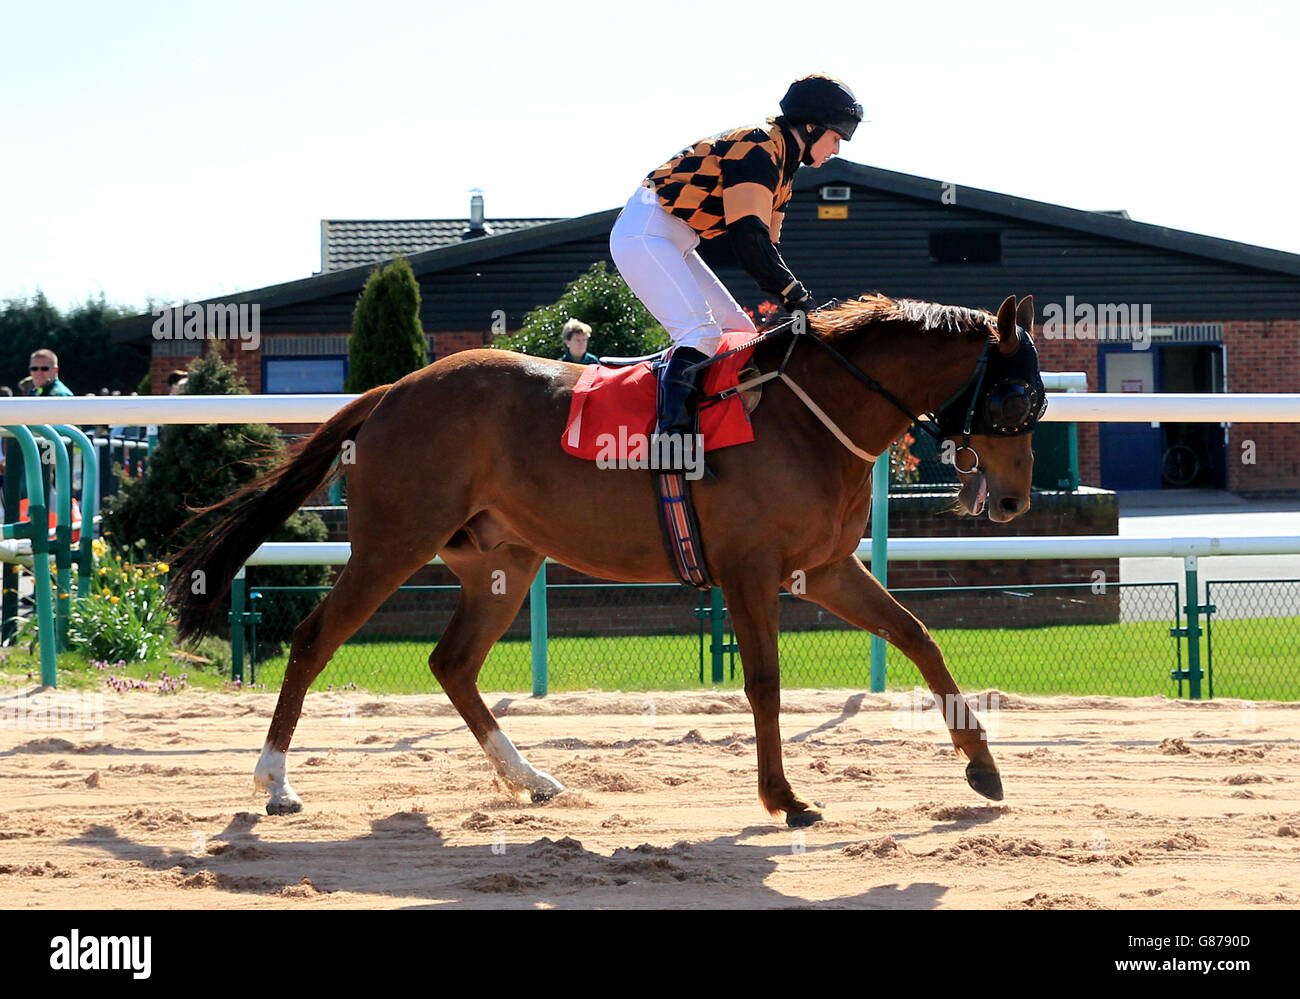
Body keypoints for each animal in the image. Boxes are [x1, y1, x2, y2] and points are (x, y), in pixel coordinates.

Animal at [170, 291, 1045, 827]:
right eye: (1015, 396)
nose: (1011, 501)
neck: (811, 414)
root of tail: (392, 389)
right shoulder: (751, 570)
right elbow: (764, 682)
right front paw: (785, 797)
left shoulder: (825, 566)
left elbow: (917, 636)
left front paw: (983, 766)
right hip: (393, 540)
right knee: (316, 638)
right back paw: (275, 781)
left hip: (504, 559)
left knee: (453, 662)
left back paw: (528, 777)